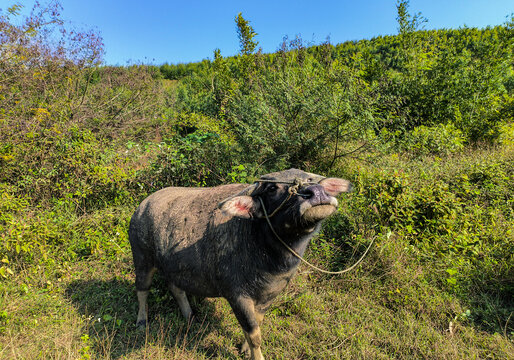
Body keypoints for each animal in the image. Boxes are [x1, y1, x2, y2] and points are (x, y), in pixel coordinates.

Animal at [128, 169, 350, 360]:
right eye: (272, 188)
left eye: (311, 179)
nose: (316, 192)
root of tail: (141, 207)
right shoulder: (237, 296)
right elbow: (253, 332)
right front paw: (256, 355)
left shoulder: (269, 295)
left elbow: (257, 323)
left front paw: (244, 348)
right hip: (142, 259)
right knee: (142, 290)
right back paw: (141, 321)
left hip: (173, 267)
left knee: (175, 288)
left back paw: (189, 315)